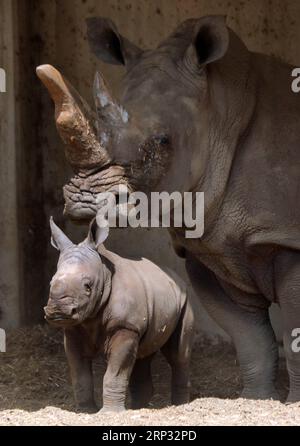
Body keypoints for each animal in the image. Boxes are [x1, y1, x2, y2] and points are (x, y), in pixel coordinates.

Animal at [44, 218, 195, 412]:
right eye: (51, 283)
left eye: (88, 286)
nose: (58, 311)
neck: (104, 273)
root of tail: (177, 278)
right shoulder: (73, 330)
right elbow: (80, 374)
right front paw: (86, 411)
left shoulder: (125, 327)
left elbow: (115, 373)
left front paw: (109, 413)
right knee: (143, 353)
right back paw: (138, 408)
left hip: (185, 299)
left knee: (178, 355)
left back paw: (180, 406)